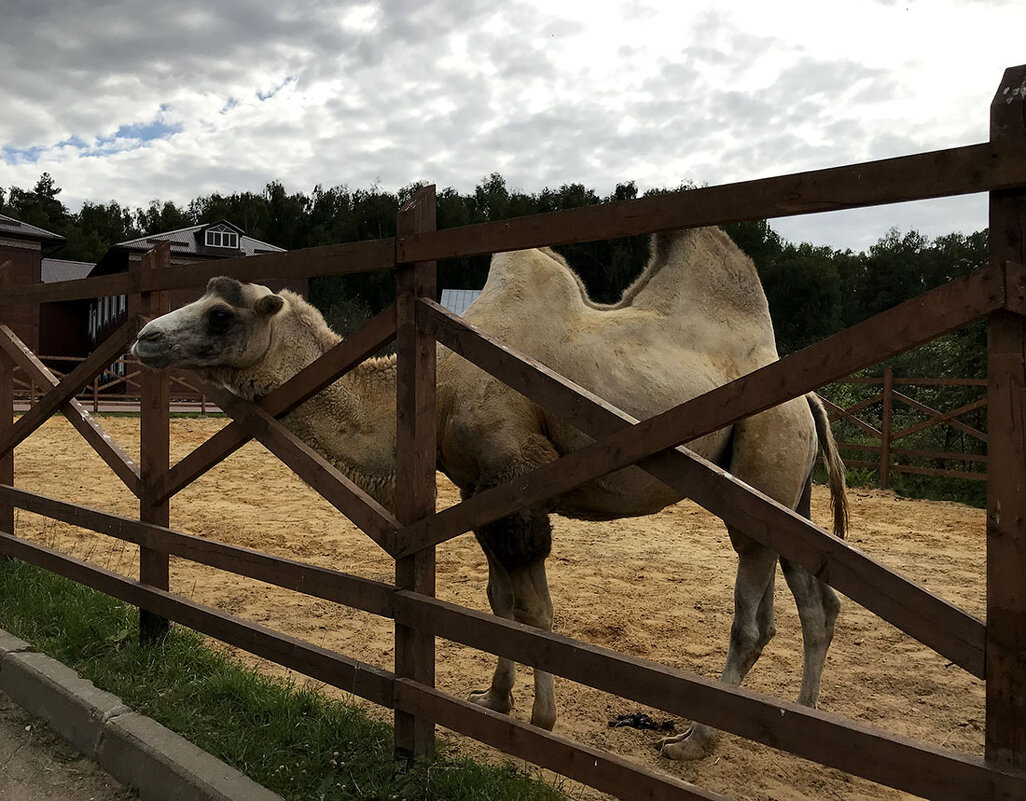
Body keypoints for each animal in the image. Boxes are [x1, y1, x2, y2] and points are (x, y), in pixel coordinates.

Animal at [132, 226, 845, 754]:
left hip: (764, 461)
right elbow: (499, 602)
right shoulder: (480, 486)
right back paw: (806, 720)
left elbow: (536, 612)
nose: (145, 337)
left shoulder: (515, 471)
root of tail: (808, 400)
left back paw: (694, 742)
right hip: (790, 492)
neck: (440, 382)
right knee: (817, 601)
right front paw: (494, 700)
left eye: (219, 315)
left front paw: (542, 720)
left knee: (753, 618)